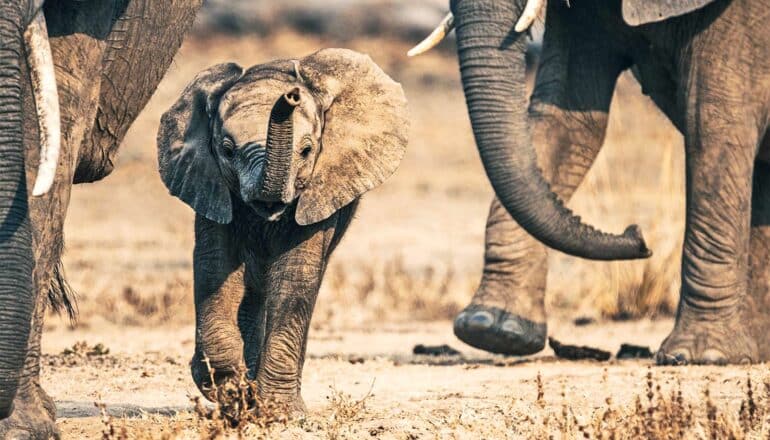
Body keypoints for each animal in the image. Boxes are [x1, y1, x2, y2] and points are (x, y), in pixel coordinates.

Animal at [155, 49, 408, 412]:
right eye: (227, 150)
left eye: (306, 150)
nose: (290, 97)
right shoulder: (207, 182)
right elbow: (215, 264)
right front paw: (229, 389)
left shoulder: (321, 189)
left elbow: (295, 274)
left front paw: (280, 412)